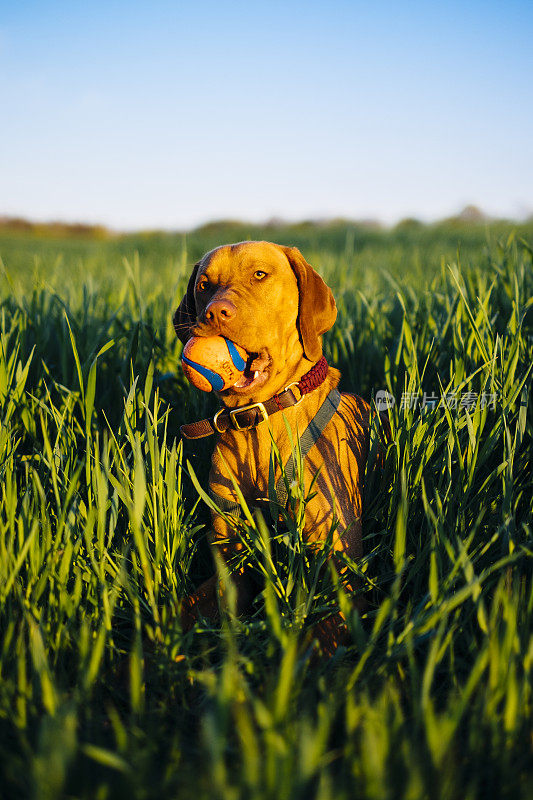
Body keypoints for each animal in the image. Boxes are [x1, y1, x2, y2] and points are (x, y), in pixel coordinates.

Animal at [172, 241, 380, 652]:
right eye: (204, 284)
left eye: (259, 275)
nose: (215, 312)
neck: (257, 423)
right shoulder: (229, 559)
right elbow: (187, 610)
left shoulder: (346, 576)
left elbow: (315, 641)